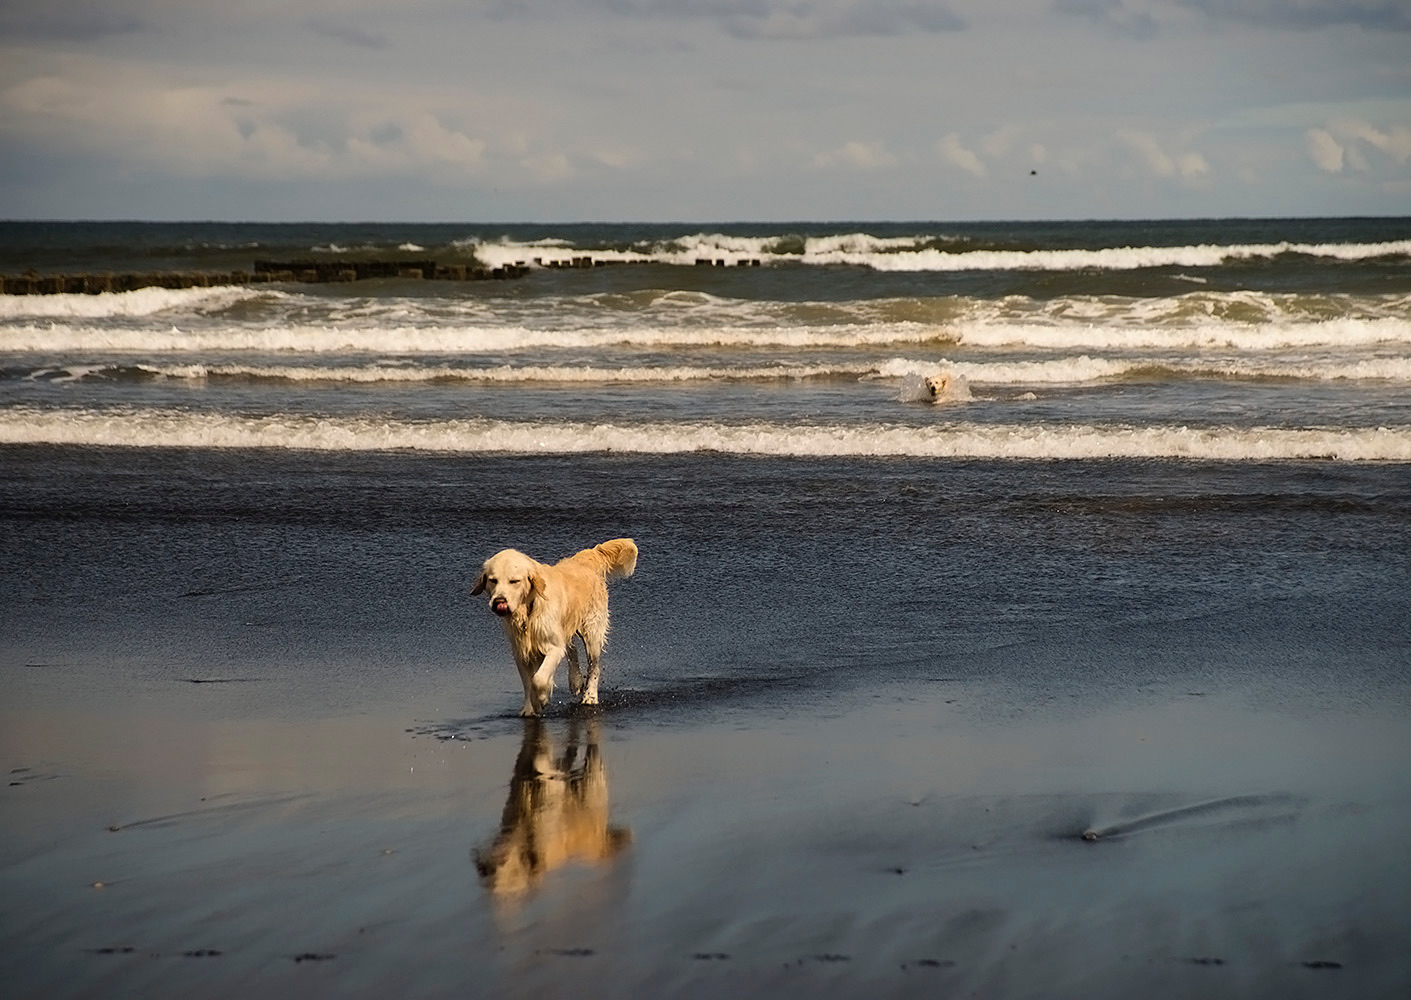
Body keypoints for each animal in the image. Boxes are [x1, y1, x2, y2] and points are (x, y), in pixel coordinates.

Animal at [471, 533, 637, 713]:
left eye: (514, 581)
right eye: (493, 580)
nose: (499, 602)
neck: (529, 608)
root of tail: (584, 560)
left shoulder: (553, 646)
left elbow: (539, 679)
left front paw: (541, 700)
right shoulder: (521, 650)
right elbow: (528, 682)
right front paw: (529, 708)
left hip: (592, 632)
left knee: (594, 666)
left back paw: (590, 696)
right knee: (571, 649)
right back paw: (575, 681)